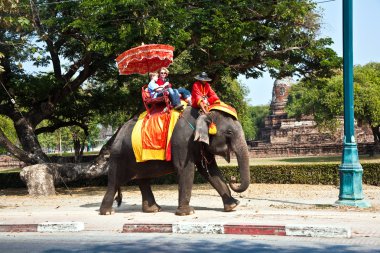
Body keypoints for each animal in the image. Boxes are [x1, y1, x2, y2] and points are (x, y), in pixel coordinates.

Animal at [99, 106, 251, 215]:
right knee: (115, 181)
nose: (233, 178)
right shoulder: (182, 142)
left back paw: (153, 209)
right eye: (229, 132)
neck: (203, 113)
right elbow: (186, 170)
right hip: (119, 157)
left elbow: (211, 171)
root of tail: (118, 133)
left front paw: (232, 206)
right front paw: (187, 212)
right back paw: (107, 212)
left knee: (143, 180)